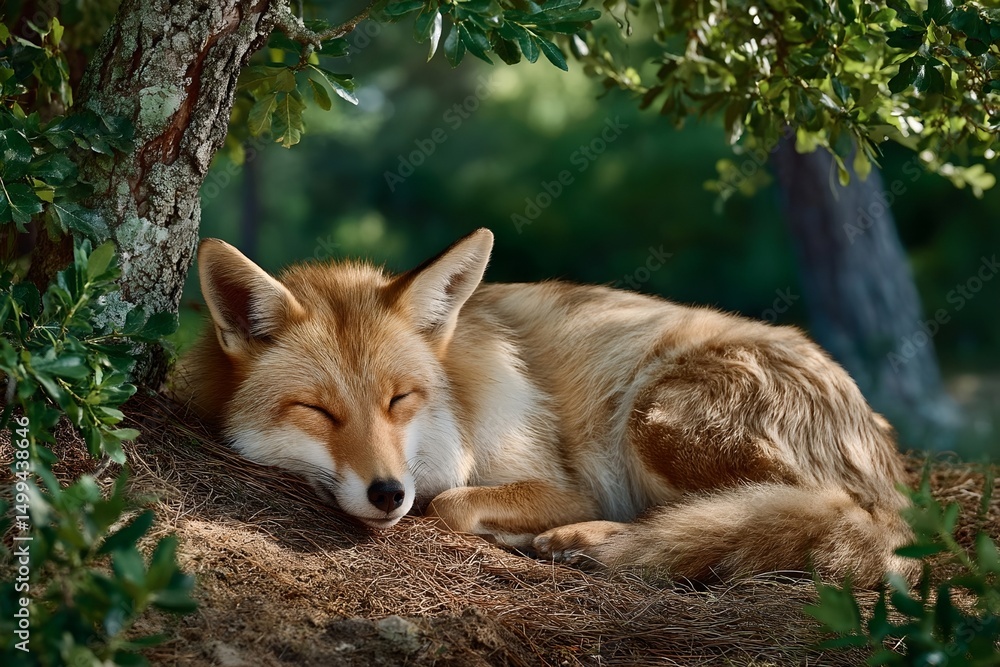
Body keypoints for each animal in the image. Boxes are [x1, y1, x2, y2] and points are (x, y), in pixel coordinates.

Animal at [173, 228, 917, 586]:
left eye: (399, 399)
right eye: (318, 411)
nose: (387, 493)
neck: (457, 401)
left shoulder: (567, 481)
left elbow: (450, 504)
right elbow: (447, 502)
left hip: (657, 419)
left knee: (767, 514)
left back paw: (591, 541)